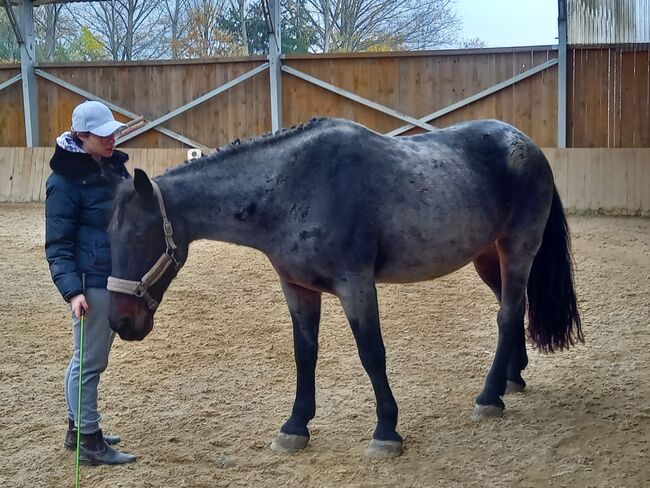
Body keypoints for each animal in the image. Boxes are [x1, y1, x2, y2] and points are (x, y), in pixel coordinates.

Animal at [107, 117, 584, 458]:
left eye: (139, 236)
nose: (121, 322)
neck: (293, 187)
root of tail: (526, 145)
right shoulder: (297, 287)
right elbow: (304, 354)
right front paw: (295, 426)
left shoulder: (356, 285)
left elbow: (372, 353)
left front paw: (387, 431)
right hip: (487, 256)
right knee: (514, 309)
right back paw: (510, 378)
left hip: (517, 248)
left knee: (507, 314)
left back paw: (489, 397)